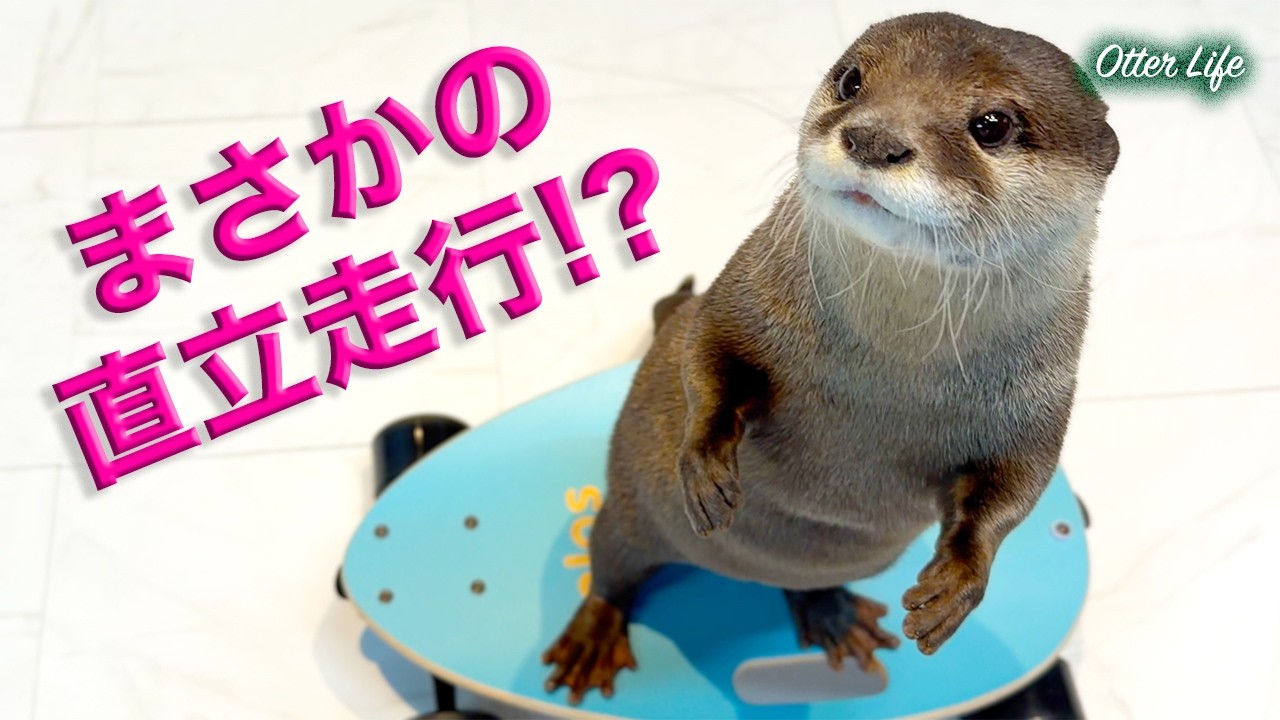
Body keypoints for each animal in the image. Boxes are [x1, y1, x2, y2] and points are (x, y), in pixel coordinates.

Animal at [542, 12, 1119, 704]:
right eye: (852, 80)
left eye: (992, 125)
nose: (873, 138)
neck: (890, 364)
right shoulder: (744, 293)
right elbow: (707, 355)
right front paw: (706, 467)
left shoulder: (1041, 403)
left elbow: (1015, 491)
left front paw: (955, 586)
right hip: (628, 509)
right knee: (611, 567)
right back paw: (594, 635)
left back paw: (833, 615)